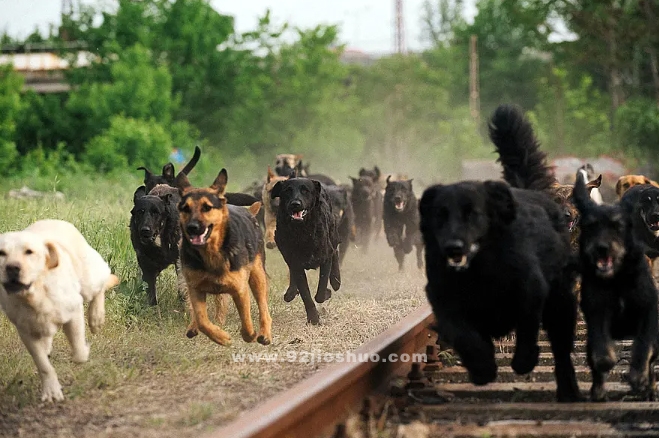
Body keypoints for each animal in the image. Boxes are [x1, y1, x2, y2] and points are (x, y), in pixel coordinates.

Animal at [0, 221, 118, 402]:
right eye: (1, 253)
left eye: (29, 251)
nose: (12, 267)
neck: (35, 295)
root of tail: (54, 220)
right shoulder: (26, 332)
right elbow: (43, 365)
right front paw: (51, 391)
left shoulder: (74, 311)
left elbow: (79, 352)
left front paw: (84, 350)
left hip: (88, 281)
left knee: (103, 280)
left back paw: (96, 318)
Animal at [175, 169, 270, 348]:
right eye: (185, 208)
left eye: (207, 207)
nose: (192, 228)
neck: (210, 253)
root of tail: (248, 212)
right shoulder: (195, 288)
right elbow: (202, 320)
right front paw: (221, 337)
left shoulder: (240, 288)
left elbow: (246, 319)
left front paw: (249, 335)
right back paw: (193, 327)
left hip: (257, 276)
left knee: (263, 307)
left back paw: (265, 334)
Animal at [270, 175, 340, 326]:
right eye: (287, 190)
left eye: (305, 190)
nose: (295, 203)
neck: (302, 231)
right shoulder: (296, 263)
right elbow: (306, 294)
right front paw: (313, 318)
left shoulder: (325, 257)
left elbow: (320, 291)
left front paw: (327, 292)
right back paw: (290, 292)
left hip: (333, 234)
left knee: (335, 252)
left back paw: (336, 281)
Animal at [420, 104, 580, 402]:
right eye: (440, 215)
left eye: (474, 214)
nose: (453, 245)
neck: (478, 268)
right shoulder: (445, 301)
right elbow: (464, 336)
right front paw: (482, 368)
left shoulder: (529, 289)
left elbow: (527, 329)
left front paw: (523, 361)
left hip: (561, 297)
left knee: (562, 347)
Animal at [572, 171, 659, 400]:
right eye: (591, 227)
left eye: (617, 227)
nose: (602, 248)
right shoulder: (597, 313)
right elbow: (601, 351)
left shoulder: (646, 314)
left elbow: (643, 349)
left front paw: (639, 378)